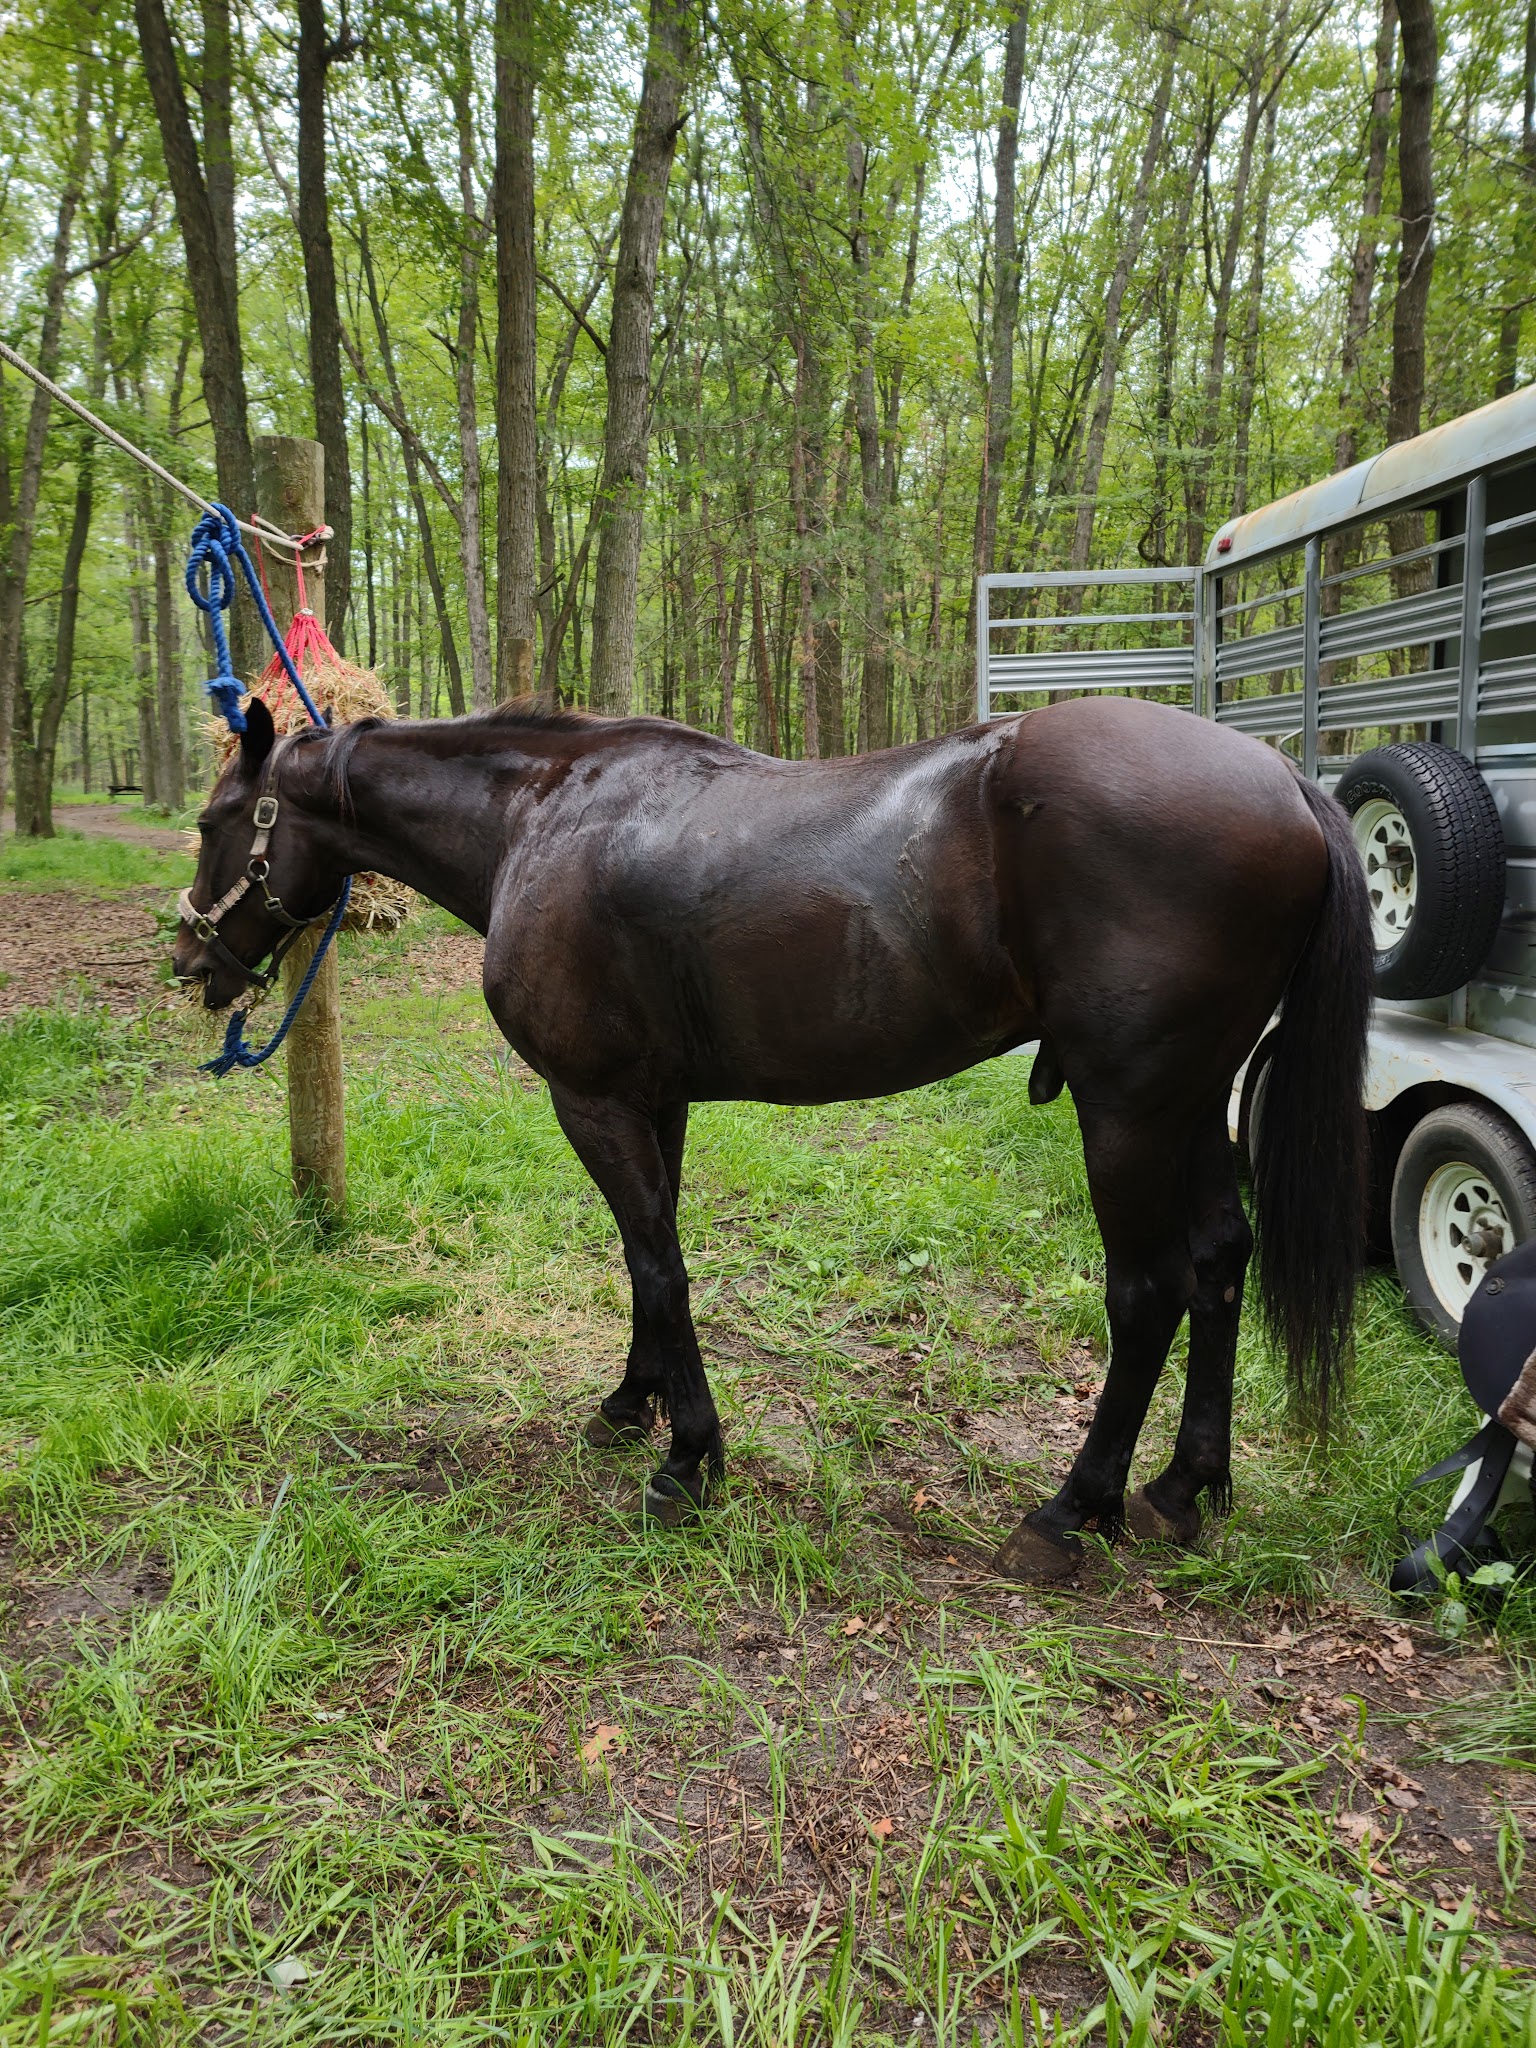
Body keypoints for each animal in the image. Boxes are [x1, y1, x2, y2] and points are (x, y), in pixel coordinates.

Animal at [174, 693, 1371, 1581]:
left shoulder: (591, 1099)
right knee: (1219, 1262)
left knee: (1148, 1290)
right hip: (1193, 1103)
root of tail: (1284, 780)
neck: (540, 818)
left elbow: (660, 1262)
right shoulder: (652, 1100)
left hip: (1127, 1109)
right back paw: (1183, 1489)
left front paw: (689, 1457)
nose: (192, 964)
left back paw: (1071, 1511)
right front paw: (636, 1404)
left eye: (211, 823)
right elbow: (648, 1260)